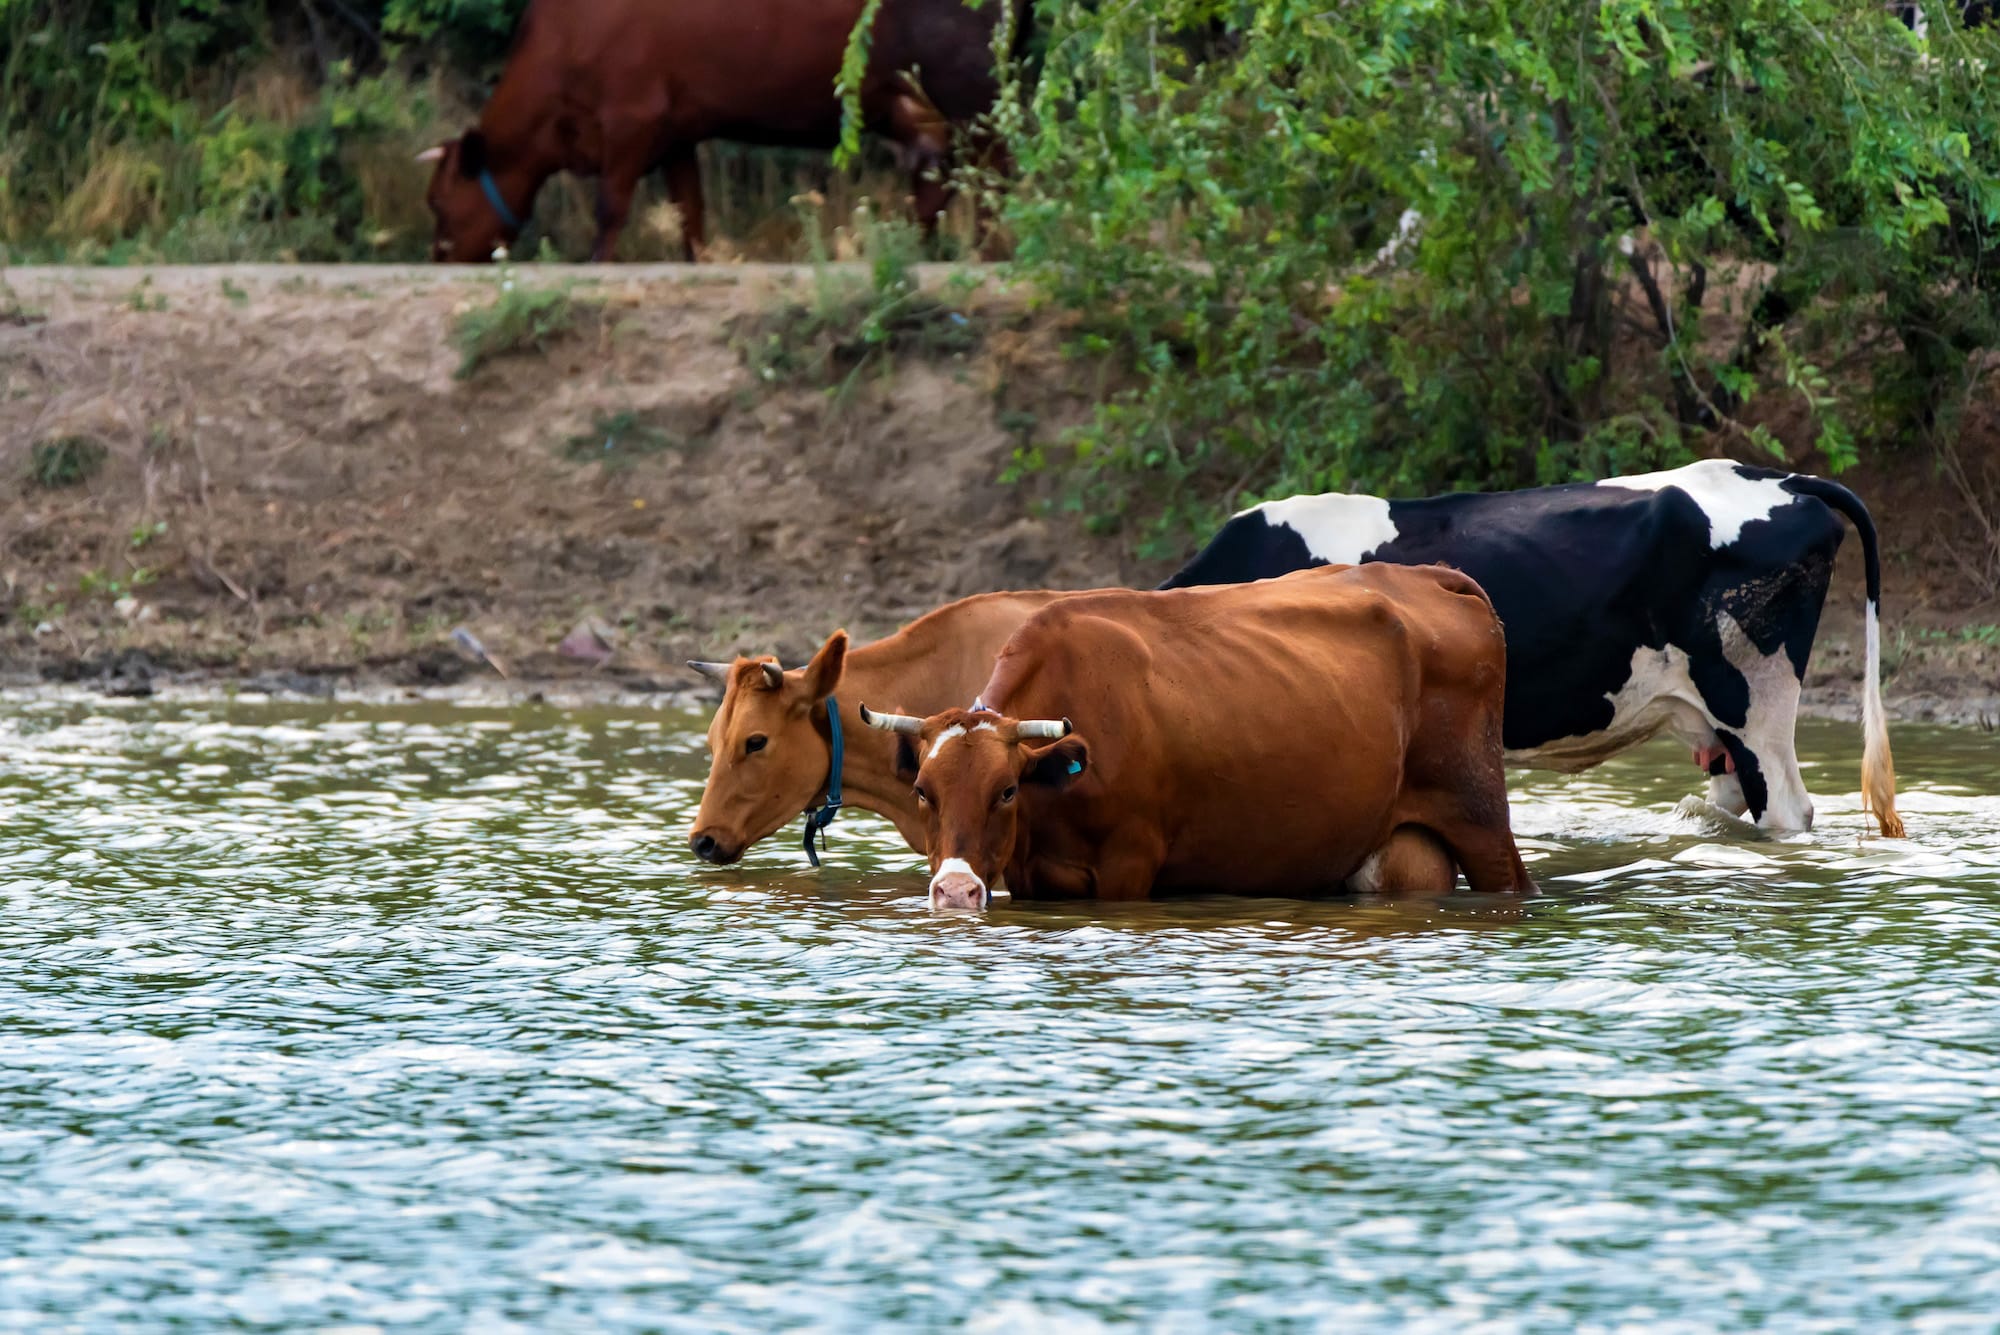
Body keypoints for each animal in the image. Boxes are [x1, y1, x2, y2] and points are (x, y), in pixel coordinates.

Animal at [418, 0, 1016, 259]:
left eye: (440, 204)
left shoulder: (631, 118)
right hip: (918, 104)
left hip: (972, 89)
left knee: (997, 171)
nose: (440, 258)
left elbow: (611, 208)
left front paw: (596, 265)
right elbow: (690, 212)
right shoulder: (674, 132)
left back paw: (989, 251)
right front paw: (698, 262)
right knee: (937, 184)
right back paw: (920, 248)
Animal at [856, 563, 1528, 907]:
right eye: (923, 791)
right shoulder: (1027, 874)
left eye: (1006, 791)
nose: (955, 892)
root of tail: (1430, 575)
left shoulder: (1128, 864)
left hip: (1481, 818)